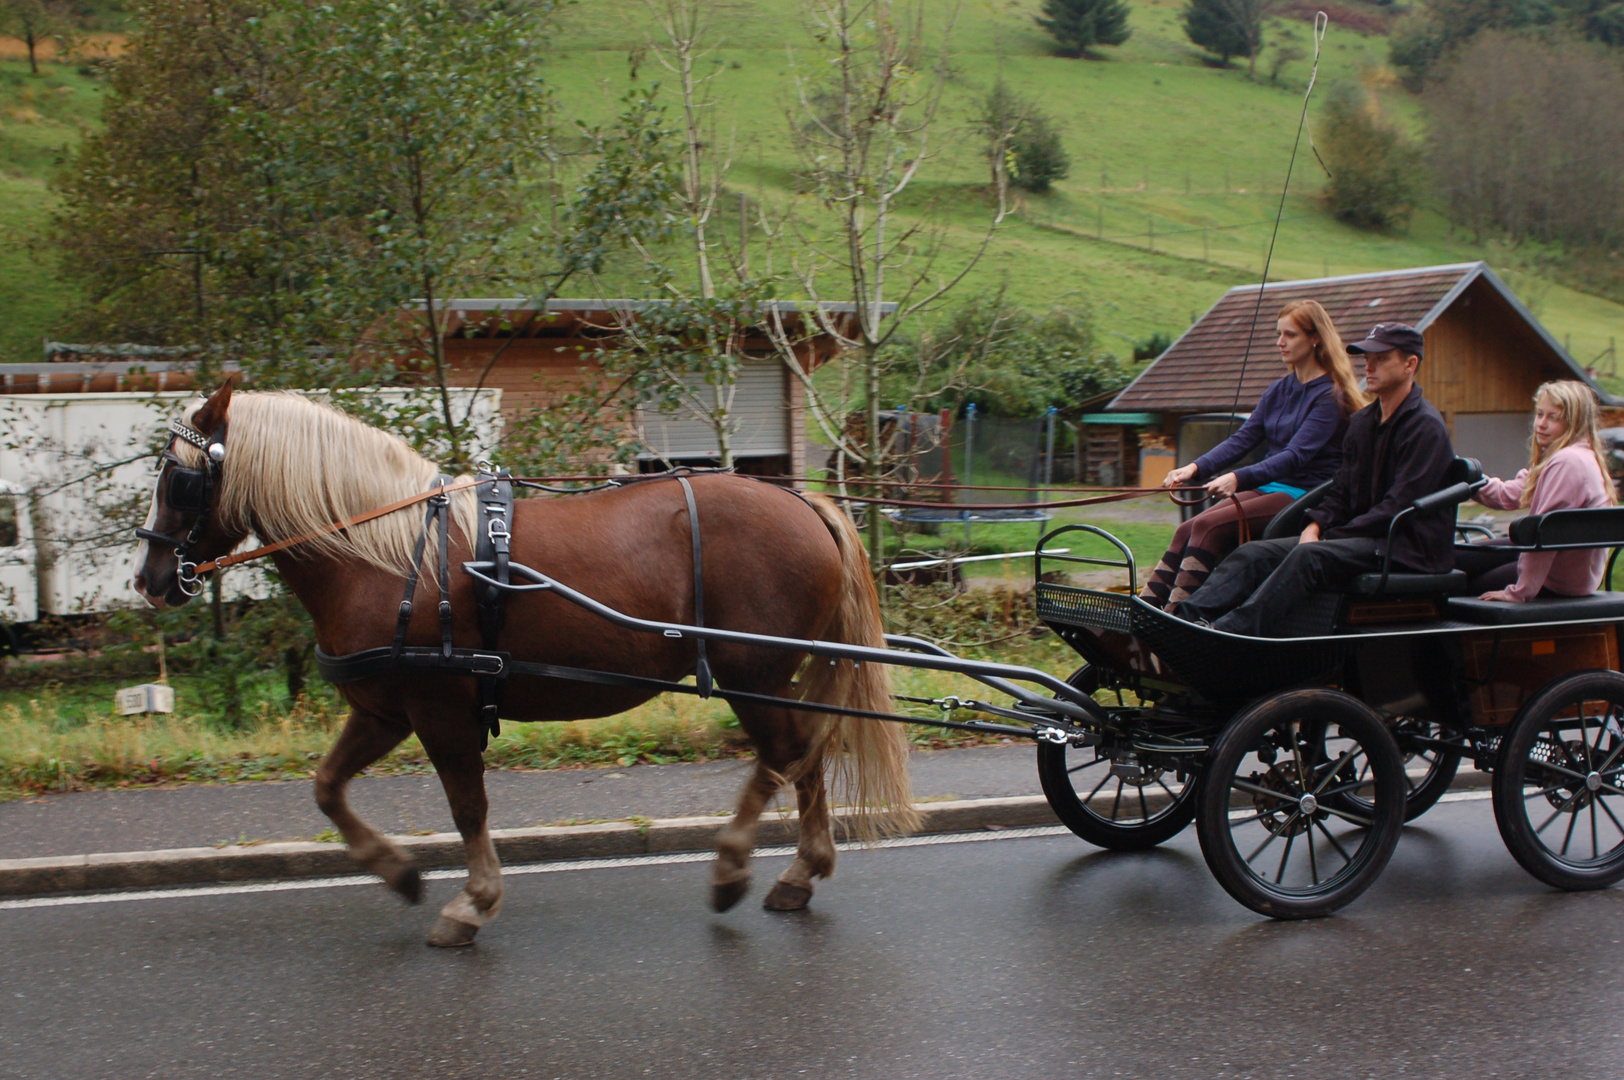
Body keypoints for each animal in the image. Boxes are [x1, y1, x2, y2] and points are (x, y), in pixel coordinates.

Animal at [133, 378, 922, 941]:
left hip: (751, 672)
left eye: (179, 479)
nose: (147, 578)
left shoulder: (439, 708)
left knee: (787, 753)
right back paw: (798, 873)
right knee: (804, 754)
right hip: (769, 676)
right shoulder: (384, 710)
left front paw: (473, 902)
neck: (387, 554)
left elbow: (467, 805)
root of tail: (804, 502)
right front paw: (397, 872)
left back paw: (736, 865)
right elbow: (328, 788)